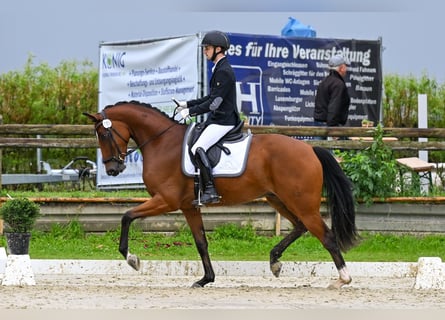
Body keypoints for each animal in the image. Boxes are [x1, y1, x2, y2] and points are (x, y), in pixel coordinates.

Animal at [83, 100, 358, 288]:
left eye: (104, 134)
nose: (113, 169)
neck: (161, 143)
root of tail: (310, 150)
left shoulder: (166, 200)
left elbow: (127, 216)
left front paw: (132, 259)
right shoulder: (189, 206)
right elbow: (201, 242)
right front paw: (206, 279)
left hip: (302, 203)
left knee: (326, 236)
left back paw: (342, 279)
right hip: (278, 199)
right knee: (300, 227)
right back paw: (275, 262)